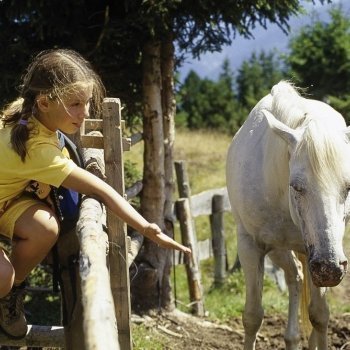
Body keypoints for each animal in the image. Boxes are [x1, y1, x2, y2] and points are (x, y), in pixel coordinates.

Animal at [227, 81, 350, 350]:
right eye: (296, 186)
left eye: (348, 187)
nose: (329, 268)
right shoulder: (250, 246)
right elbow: (252, 316)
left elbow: (320, 315)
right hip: (280, 251)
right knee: (295, 276)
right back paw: (292, 338)